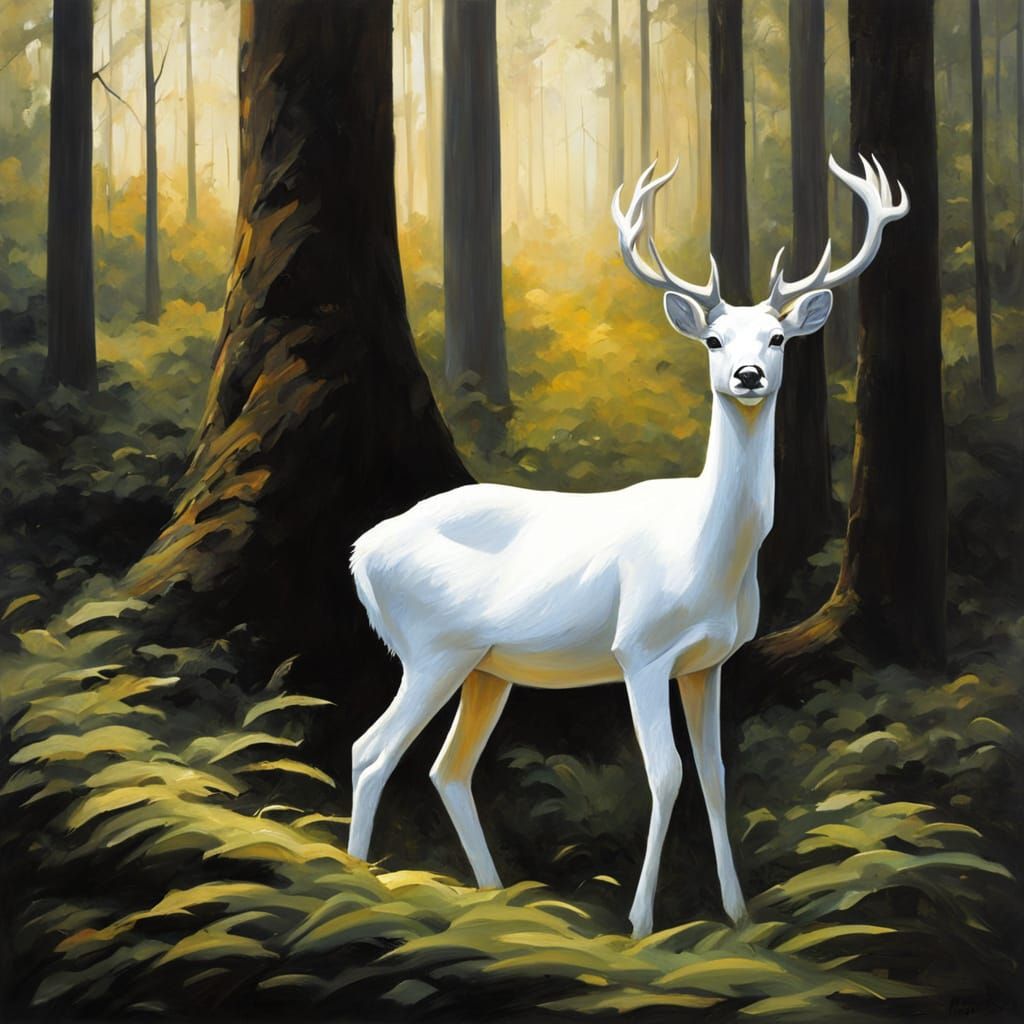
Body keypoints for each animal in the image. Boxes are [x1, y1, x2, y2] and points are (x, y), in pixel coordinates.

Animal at [347, 154, 908, 939]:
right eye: (713, 341)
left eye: (776, 339)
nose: (747, 377)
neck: (707, 557)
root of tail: (359, 556)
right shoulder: (640, 649)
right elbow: (665, 774)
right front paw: (641, 922)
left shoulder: (709, 662)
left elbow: (715, 774)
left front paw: (737, 911)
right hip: (432, 647)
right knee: (371, 752)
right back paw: (354, 881)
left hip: (486, 666)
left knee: (447, 768)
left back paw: (495, 895)